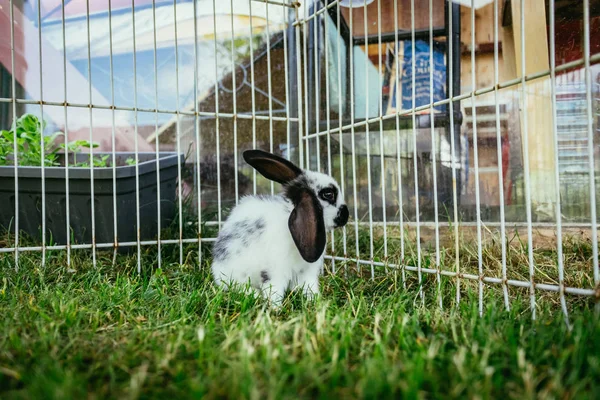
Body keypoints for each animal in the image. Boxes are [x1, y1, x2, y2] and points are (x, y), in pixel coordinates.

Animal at [212, 148, 350, 308]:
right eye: (328, 194)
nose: (346, 215)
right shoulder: (275, 272)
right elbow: (274, 290)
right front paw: (276, 309)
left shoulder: (307, 272)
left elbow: (310, 288)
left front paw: (315, 303)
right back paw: (254, 294)